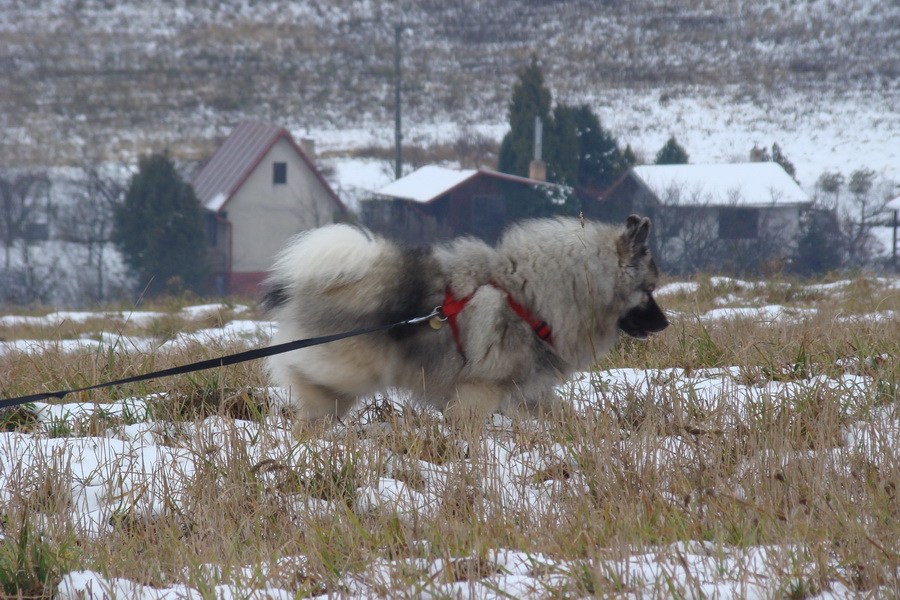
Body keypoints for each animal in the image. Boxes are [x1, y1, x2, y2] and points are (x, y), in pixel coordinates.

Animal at [260, 214, 668, 422]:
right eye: (648, 290)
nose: (665, 323)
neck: (528, 296)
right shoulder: (480, 389)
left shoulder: (528, 392)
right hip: (343, 380)